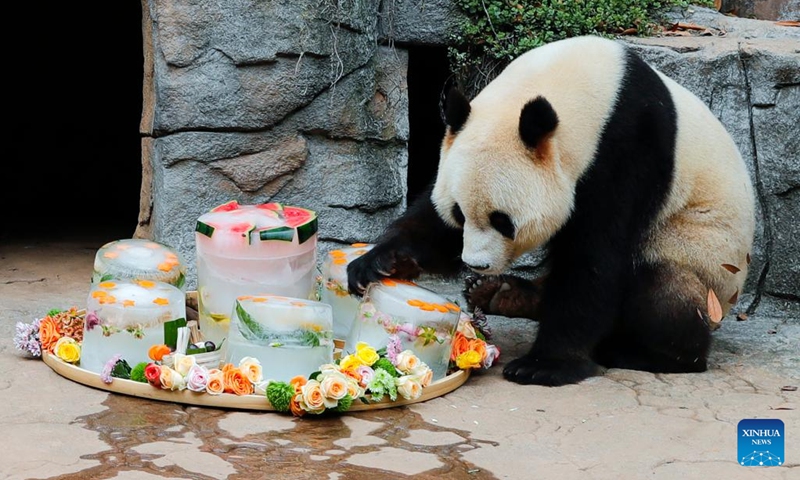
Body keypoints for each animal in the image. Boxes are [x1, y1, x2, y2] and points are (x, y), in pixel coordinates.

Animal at [347, 35, 755, 386]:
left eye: (502, 221)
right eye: (460, 213)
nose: (477, 264)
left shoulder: (628, 150)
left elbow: (596, 256)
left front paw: (545, 365)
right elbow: (433, 221)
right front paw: (380, 263)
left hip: (701, 259)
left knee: (662, 286)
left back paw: (648, 353)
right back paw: (500, 293)